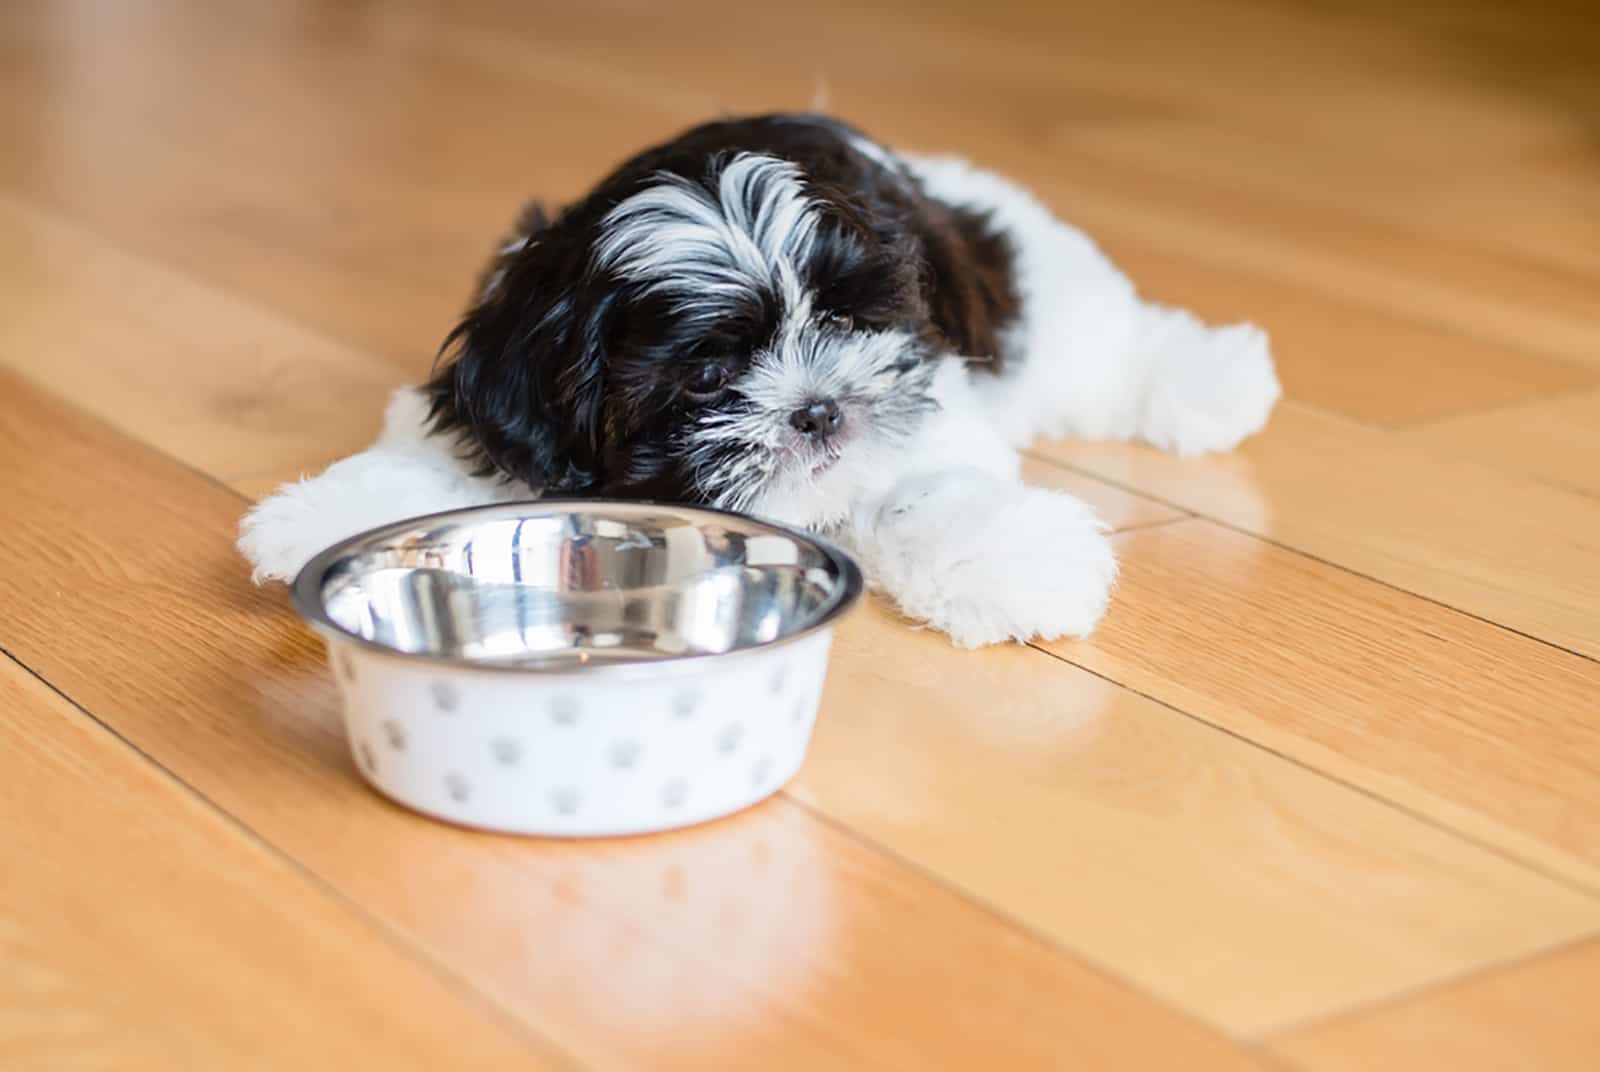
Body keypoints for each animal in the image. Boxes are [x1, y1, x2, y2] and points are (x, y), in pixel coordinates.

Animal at [240, 118, 1273, 656]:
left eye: (849, 325)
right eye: (707, 373)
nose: (817, 409)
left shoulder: (930, 407)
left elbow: (923, 491)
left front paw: (1010, 566)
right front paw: (326, 517)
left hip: (1040, 305)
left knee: (1116, 345)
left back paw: (1214, 379)